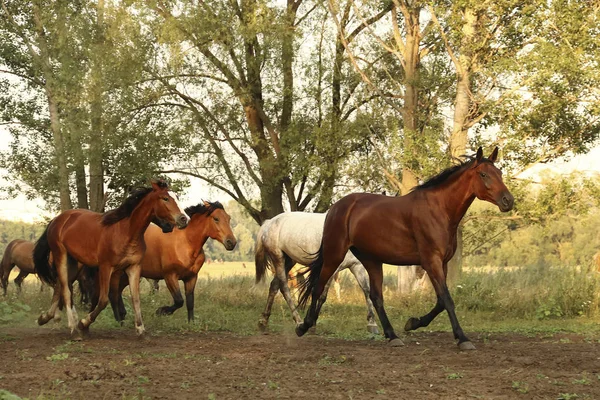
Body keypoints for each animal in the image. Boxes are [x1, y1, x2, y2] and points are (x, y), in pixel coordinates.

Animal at [33, 180, 188, 340]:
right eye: (165, 198)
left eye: (176, 196)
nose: (184, 219)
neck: (126, 232)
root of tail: (57, 220)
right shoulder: (105, 268)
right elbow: (103, 300)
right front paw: (83, 324)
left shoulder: (133, 267)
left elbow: (135, 299)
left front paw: (141, 330)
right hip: (61, 256)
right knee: (65, 290)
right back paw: (74, 329)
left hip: (73, 262)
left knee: (60, 286)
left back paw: (45, 318)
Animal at [102, 202, 236, 324]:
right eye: (216, 218)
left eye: (229, 218)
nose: (231, 242)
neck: (185, 243)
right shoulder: (170, 276)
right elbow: (179, 301)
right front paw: (161, 311)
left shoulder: (191, 277)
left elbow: (190, 302)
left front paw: (191, 323)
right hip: (117, 272)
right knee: (112, 294)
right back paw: (119, 321)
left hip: (127, 274)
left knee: (117, 292)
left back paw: (122, 316)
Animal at [298, 148, 512, 350]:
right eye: (483, 174)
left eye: (499, 173)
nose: (508, 201)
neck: (439, 209)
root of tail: (335, 208)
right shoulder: (431, 262)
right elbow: (447, 299)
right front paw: (463, 338)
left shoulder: (442, 263)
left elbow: (440, 301)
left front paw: (413, 323)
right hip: (334, 255)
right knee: (318, 287)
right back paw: (304, 325)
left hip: (371, 260)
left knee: (376, 297)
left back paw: (392, 335)